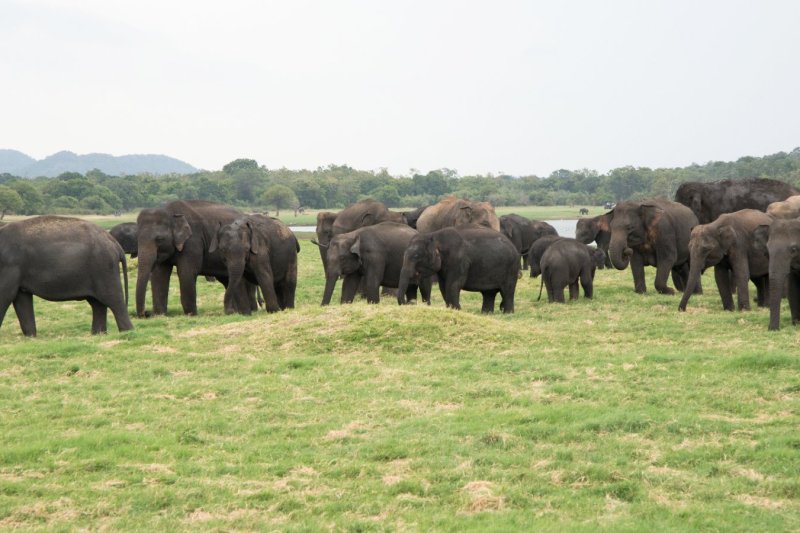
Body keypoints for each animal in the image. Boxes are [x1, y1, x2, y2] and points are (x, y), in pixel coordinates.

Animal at [0, 216, 133, 336]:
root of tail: (115, 243)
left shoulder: (9, 265)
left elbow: (6, 295)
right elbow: (21, 298)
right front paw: (31, 337)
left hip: (104, 268)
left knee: (114, 300)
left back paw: (127, 332)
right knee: (97, 304)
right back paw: (98, 334)